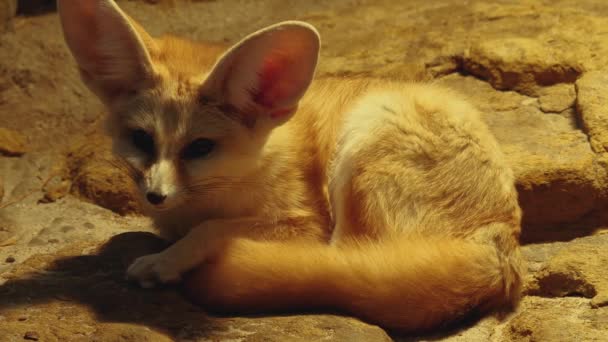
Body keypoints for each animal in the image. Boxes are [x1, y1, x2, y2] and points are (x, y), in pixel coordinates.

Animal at [58, 0, 524, 332]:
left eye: (200, 147)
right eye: (142, 139)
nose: (155, 196)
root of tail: (501, 244)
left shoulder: (304, 222)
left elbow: (211, 231)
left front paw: (167, 260)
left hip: (364, 138)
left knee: (339, 261)